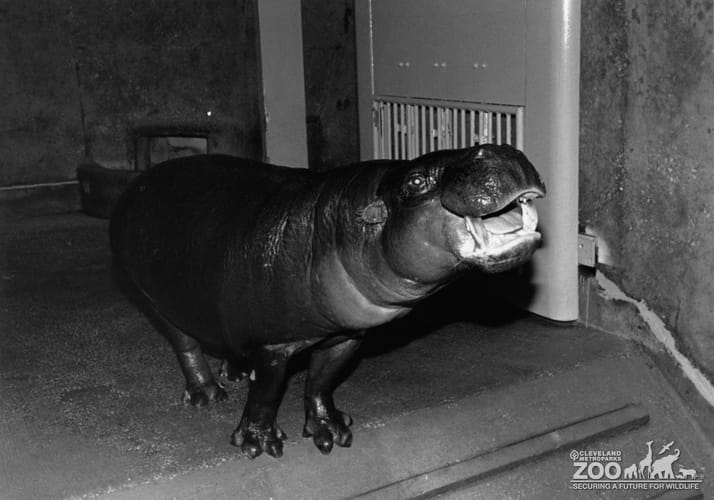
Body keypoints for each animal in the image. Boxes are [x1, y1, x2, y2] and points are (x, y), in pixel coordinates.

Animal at [110, 143, 545, 459]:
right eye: (416, 181)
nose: (500, 151)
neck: (341, 227)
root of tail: (142, 180)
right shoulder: (272, 345)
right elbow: (266, 395)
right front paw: (259, 444)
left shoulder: (345, 337)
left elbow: (321, 382)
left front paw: (332, 432)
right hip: (154, 298)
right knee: (185, 344)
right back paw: (207, 394)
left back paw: (233, 372)